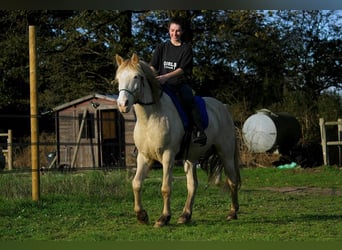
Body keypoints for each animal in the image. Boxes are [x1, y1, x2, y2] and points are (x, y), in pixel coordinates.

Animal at [115, 53, 240, 228]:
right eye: (118, 78)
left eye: (136, 76)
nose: (122, 104)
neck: (150, 117)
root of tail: (223, 107)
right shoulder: (144, 157)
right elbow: (136, 183)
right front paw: (141, 216)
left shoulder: (168, 156)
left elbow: (166, 187)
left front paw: (164, 218)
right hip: (191, 158)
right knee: (193, 185)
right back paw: (185, 215)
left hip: (226, 153)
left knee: (232, 181)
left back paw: (232, 212)